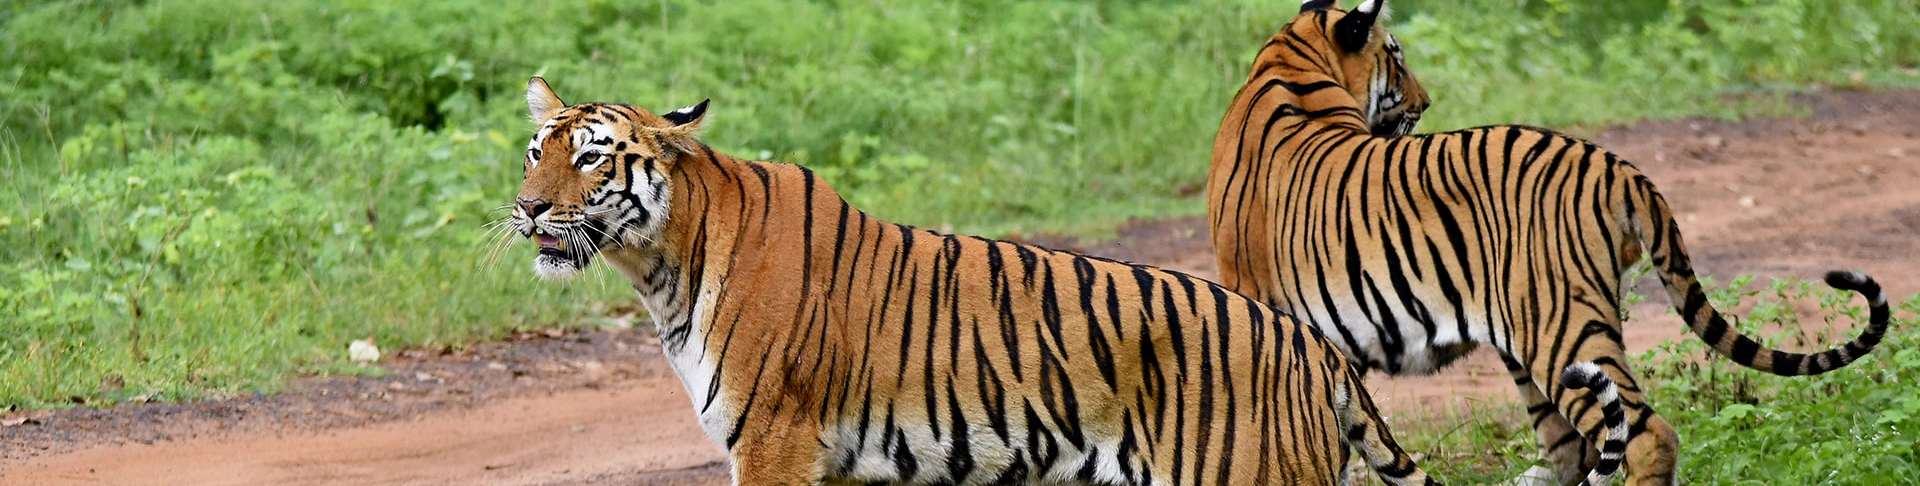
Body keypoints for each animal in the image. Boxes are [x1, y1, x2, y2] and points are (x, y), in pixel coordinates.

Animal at [503, 76, 1629, 486]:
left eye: (592, 159)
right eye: (533, 151)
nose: (525, 211)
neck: (663, 265)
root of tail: (1310, 348)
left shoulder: (778, 449)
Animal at [1204, 1, 1893, 485]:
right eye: (1397, 57)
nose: (1426, 101)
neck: (1290, 64)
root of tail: (1617, 164)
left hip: (1561, 324)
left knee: (1646, 436)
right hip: (1536, 338)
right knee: (1574, 450)